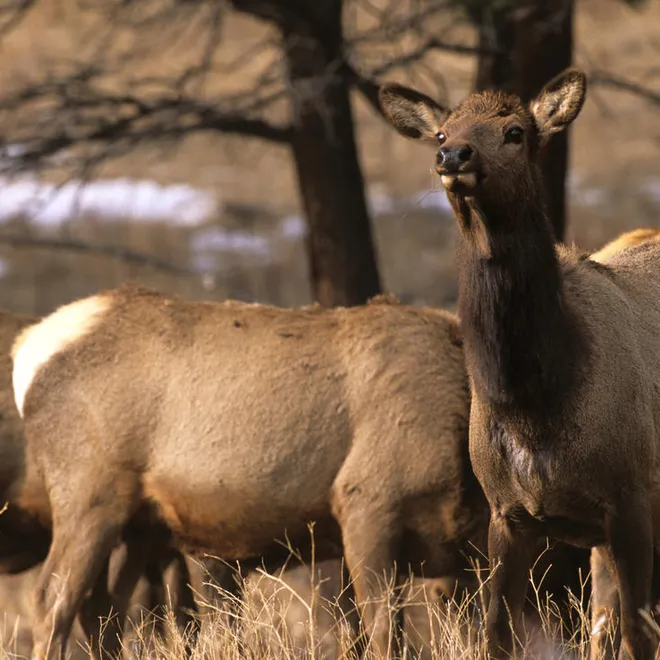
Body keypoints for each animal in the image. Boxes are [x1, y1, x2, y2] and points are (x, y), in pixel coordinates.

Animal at [379, 68, 660, 660]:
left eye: (515, 132)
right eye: (442, 131)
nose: (454, 156)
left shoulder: (632, 493)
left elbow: (638, 633)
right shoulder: (506, 512)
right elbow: (496, 632)